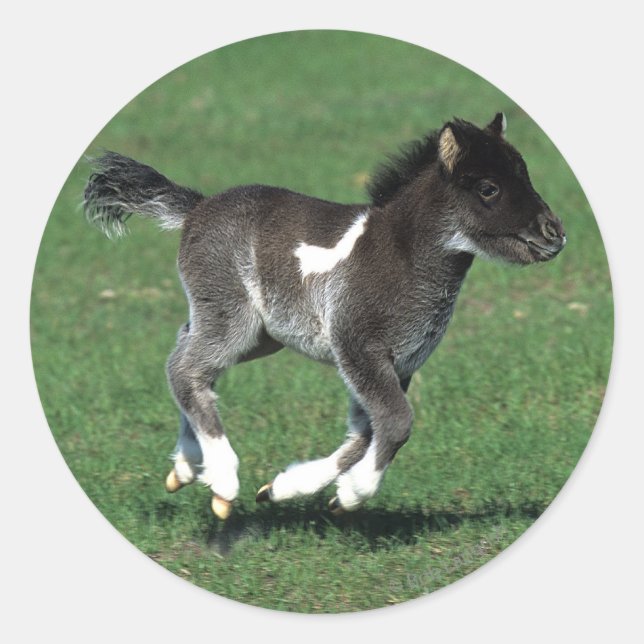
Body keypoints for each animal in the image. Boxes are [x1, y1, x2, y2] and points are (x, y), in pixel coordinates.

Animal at [84, 113, 566, 519]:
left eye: (525, 174)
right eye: (488, 188)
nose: (555, 233)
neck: (403, 255)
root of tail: (197, 208)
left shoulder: (398, 362)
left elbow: (365, 433)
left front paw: (284, 489)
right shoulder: (358, 345)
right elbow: (396, 422)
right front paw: (352, 495)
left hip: (258, 334)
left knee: (187, 354)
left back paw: (186, 467)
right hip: (232, 317)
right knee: (185, 369)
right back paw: (222, 481)